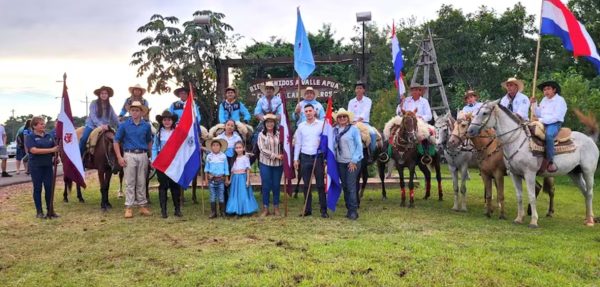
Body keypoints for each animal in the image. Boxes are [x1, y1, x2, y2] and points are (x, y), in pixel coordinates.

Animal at [466, 100, 596, 228]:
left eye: (484, 113)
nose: (470, 130)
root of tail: (590, 139)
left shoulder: (528, 174)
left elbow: (531, 196)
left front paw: (533, 221)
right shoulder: (514, 174)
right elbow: (519, 196)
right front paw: (518, 219)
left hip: (588, 172)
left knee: (588, 193)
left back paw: (589, 221)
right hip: (575, 173)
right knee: (584, 192)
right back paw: (587, 218)